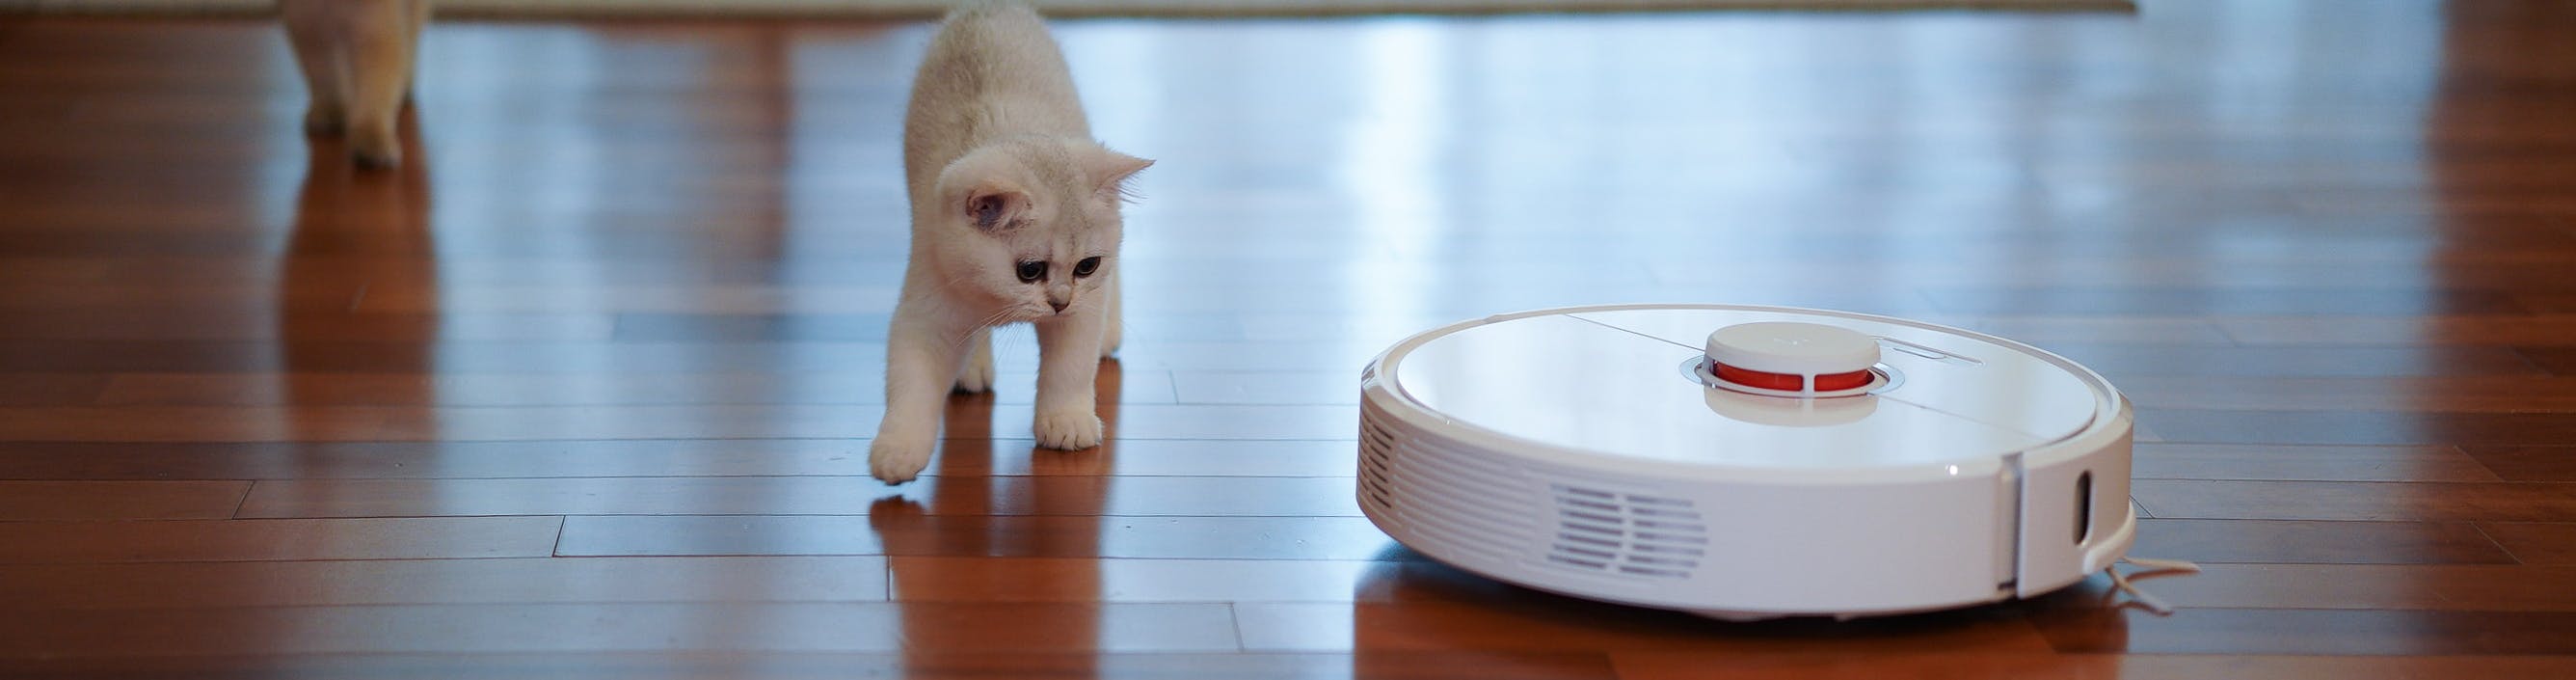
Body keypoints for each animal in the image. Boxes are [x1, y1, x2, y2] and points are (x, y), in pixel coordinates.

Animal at [865, 4, 1148, 484]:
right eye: (1029, 271)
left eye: (1086, 266)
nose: (1060, 301)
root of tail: (987, 8)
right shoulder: (926, 309)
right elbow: (910, 385)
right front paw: (898, 451)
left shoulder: (1082, 312)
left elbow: (1069, 369)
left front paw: (1066, 423)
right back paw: (972, 369)